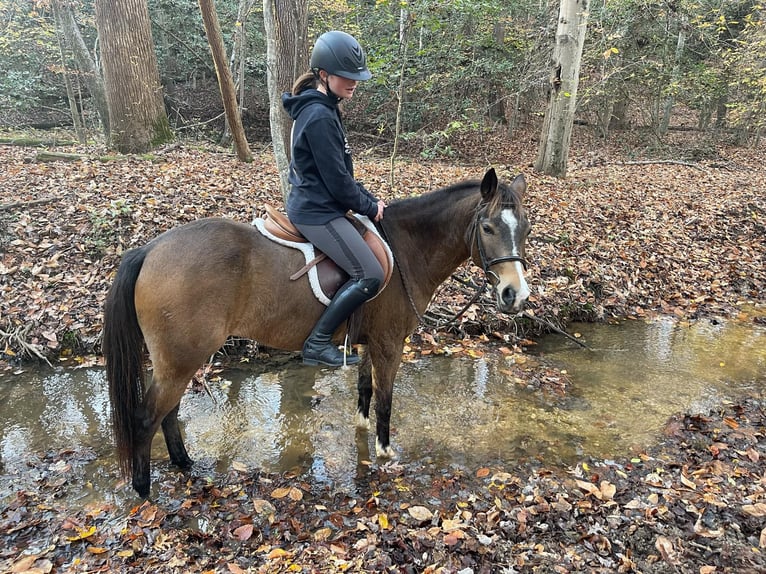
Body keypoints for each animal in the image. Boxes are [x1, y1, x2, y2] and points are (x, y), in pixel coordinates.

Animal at [105, 169, 532, 498]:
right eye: (488, 227)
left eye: (525, 229)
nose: (516, 294)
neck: (405, 249)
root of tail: (149, 250)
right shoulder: (389, 344)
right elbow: (385, 401)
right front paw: (385, 453)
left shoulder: (369, 344)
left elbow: (364, 392)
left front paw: (362, 435)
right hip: (180, 359)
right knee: (146, 417)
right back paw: (143, 489)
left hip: (181, 359)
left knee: (169, 413)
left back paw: (185, 464)